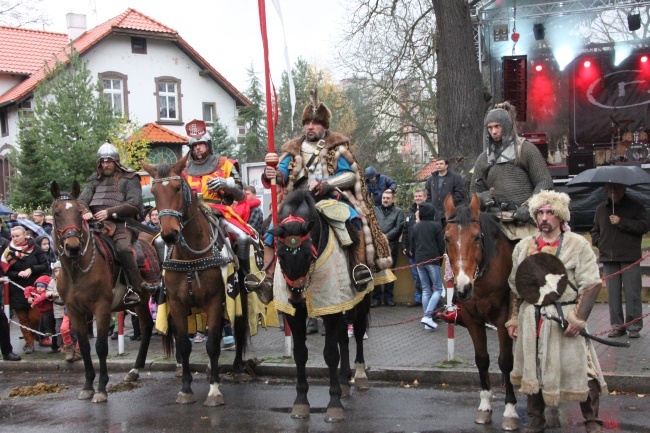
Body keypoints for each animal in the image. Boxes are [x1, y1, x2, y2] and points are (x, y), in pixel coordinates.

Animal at [49, 180, 153, 402]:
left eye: (79, 213)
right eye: (56, 213)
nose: (72, 246)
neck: (78, 271)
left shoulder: (102, 308)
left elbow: (101, 347)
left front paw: (102, 388)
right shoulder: (75, 310)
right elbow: (85, 347)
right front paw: (88, 386)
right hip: (141, 301)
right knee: (148, 326)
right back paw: (135, 370)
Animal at [141, 155, 248, 404]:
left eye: (177, 188)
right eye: (154, 191)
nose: (169, 234)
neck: (190, 256)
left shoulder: (216, 300)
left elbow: (212, 344)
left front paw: (214, 390)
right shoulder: (177, 304)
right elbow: (184, 345)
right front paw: (186, 388)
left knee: (238, 328)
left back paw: (238, 369)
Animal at [268, 189, 370, 422]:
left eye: (308, 254)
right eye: (280, 254)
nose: (297, 300)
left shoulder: (330, 309)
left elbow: (330, 354)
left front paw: (334, 405)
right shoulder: (297, 315)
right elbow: (300, 353)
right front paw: (300, 402)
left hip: (362, 298)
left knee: (359, 331)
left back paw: (359, 375)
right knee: (344, 336)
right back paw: (344, 380)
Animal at [440, 194, 516, 430]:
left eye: (476, 237)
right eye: (447, 238)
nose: (463, 288)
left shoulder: (503, 319)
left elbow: (505, 361)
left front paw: (510, 410)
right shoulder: (473, 320)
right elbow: (482, 359)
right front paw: (484, 406)